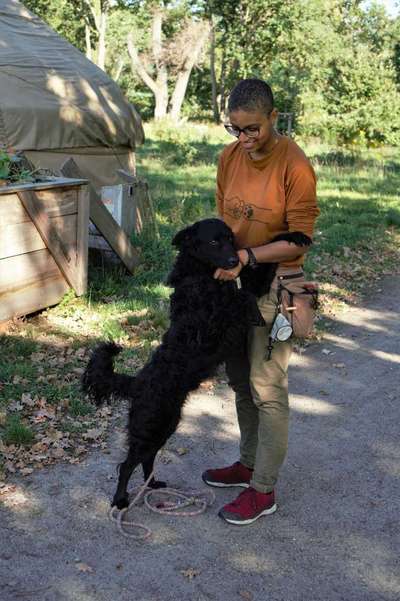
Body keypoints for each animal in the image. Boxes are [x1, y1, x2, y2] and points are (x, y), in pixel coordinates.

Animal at [83, 218, 310, 508]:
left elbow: (258, 273)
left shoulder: (248, 287)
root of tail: (137, 381)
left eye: (231, 239)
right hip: (150, 425)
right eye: (214, 241)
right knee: (127, 464)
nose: (234, 260)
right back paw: (121, 499)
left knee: (146, 458)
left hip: (166, 424)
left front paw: (295, 236)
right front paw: (255, 313)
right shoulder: (213, 326)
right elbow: (243, 297)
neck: (201, 276)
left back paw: (152, 484)